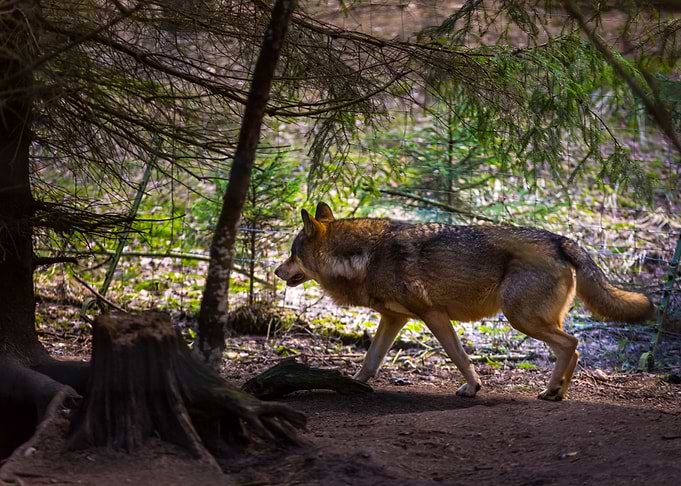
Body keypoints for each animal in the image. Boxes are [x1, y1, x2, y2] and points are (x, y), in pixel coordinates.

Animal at [275, 202, 654, 400]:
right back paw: (557, 393)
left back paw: (551, 393)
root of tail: (561, 239)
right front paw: (353, 385)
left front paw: (472, 387)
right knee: (572, 348)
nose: (277, 271)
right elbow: (370, 361)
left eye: (292, 254)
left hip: (520, 319)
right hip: (536, 320)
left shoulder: (433, 315)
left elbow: (459, 356)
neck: (363, 257)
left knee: (571, 343)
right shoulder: (394, 319)